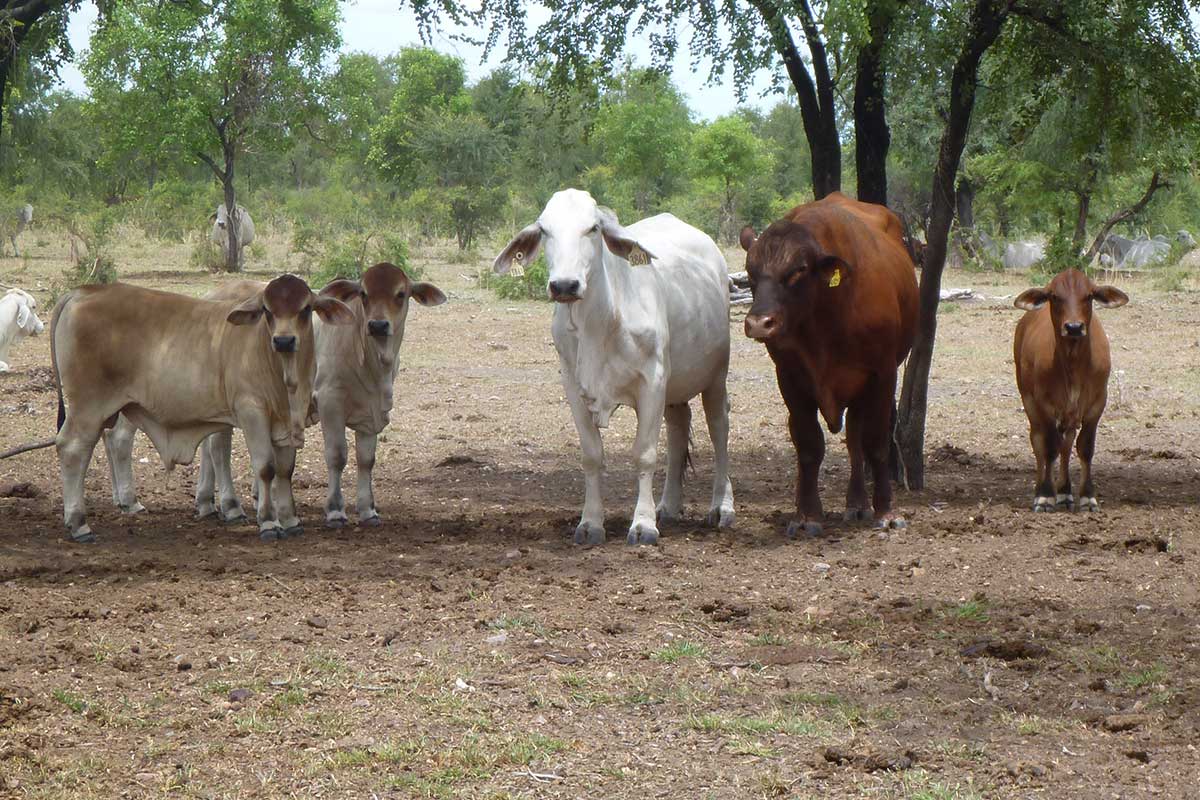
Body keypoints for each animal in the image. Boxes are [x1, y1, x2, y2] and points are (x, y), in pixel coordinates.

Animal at [492, 190, 734, 546]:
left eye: (593, 228)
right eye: (545, 230)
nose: (565, 285)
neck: (601, 323)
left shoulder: (652, 381)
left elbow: (644, 453)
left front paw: (643, 525)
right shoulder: (573, 386)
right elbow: (592, 455)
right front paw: (591, 523)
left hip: (715, 376)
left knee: (719, 430)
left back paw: (721, 506)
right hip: (675, 387)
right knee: (678, 428)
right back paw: (668, 506)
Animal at [739, 191, 916, 537]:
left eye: (797, 270)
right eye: (751, 273)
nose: (759, 324)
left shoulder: (882, 374)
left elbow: (876, 444)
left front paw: (887, 512)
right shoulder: (790, 378)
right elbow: (809, 446)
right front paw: (807, 516)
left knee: (856, 441)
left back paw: (859, 505)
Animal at [1012, 268, 1123, 513]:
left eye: (1089, 295)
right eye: (1054, 296)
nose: (1073, 327)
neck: (1073, 365)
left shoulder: (1097, 404)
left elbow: (1085, 448)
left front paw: (1087, 496)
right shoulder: (1044, 405)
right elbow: (1049, 447)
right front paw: (1045, 496)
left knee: (1067, 443)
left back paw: (1064, 492)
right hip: (1029, 401)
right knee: (1038, 442)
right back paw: (1041, 490)